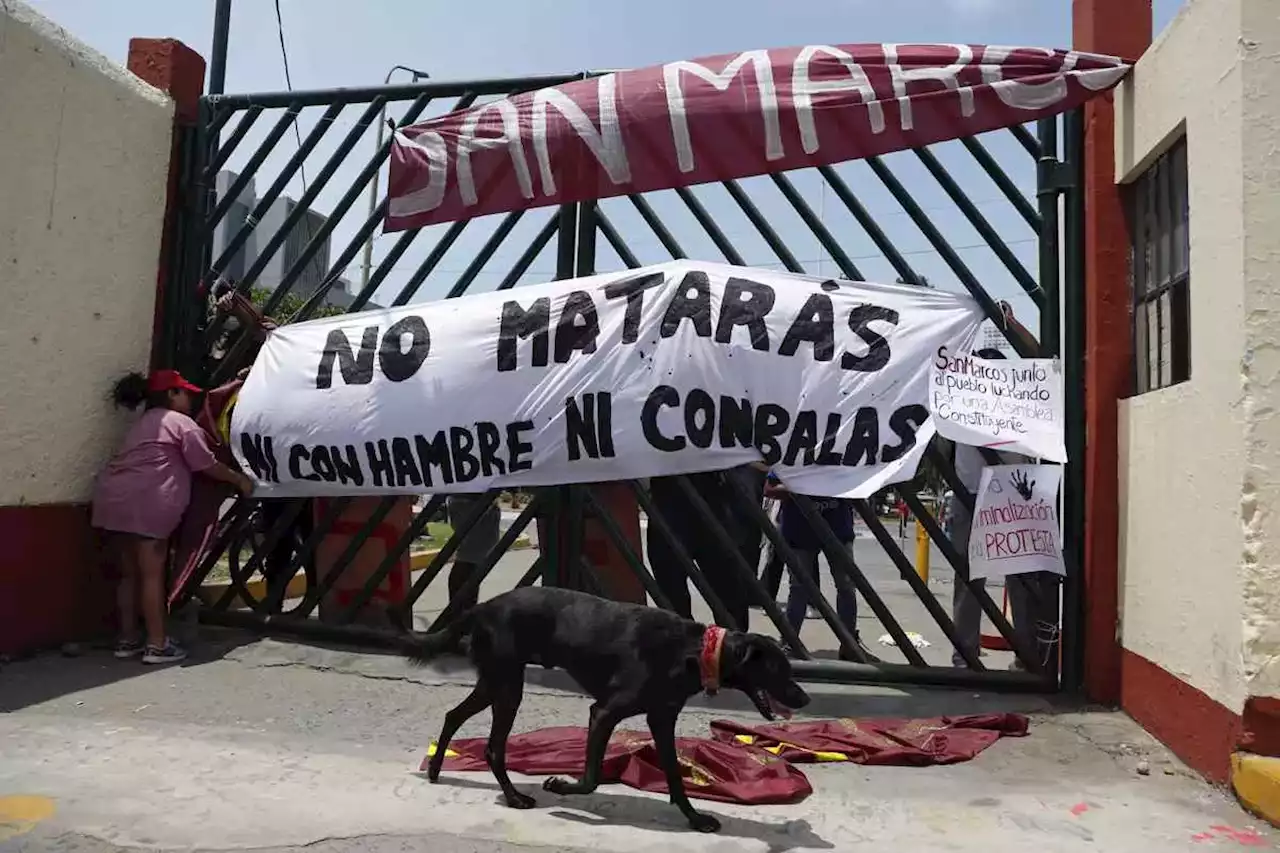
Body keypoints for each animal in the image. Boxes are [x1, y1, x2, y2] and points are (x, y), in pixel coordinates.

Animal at [404, 584, 808, 829]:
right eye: (780, 670)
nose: (804, 698)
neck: (693, 651)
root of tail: (484, 606)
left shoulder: (662, 719)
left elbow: (675, 777)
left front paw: (695, 819)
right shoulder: (603, 713)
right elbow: (592, 779)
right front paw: (560, 786)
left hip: (495, 682)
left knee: (453, 715)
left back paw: (437, 769)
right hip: (507, 687)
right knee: (492, 746)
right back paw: (515, 797)